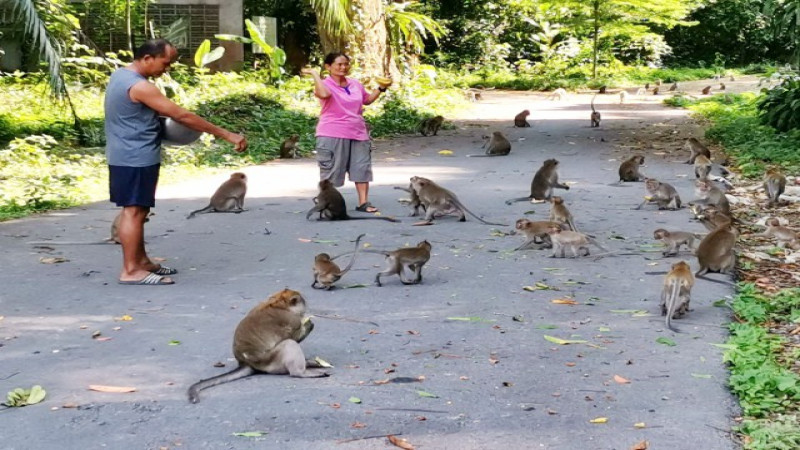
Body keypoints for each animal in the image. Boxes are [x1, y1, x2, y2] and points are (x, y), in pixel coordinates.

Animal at [187, 290, 328, 402]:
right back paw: (300, 372)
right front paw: (309, 324)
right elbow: (294, 338)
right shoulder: (292, 320)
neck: (279, 304)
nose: (306, 305)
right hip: (270, 361)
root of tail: (245, 362)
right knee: (289, 344)